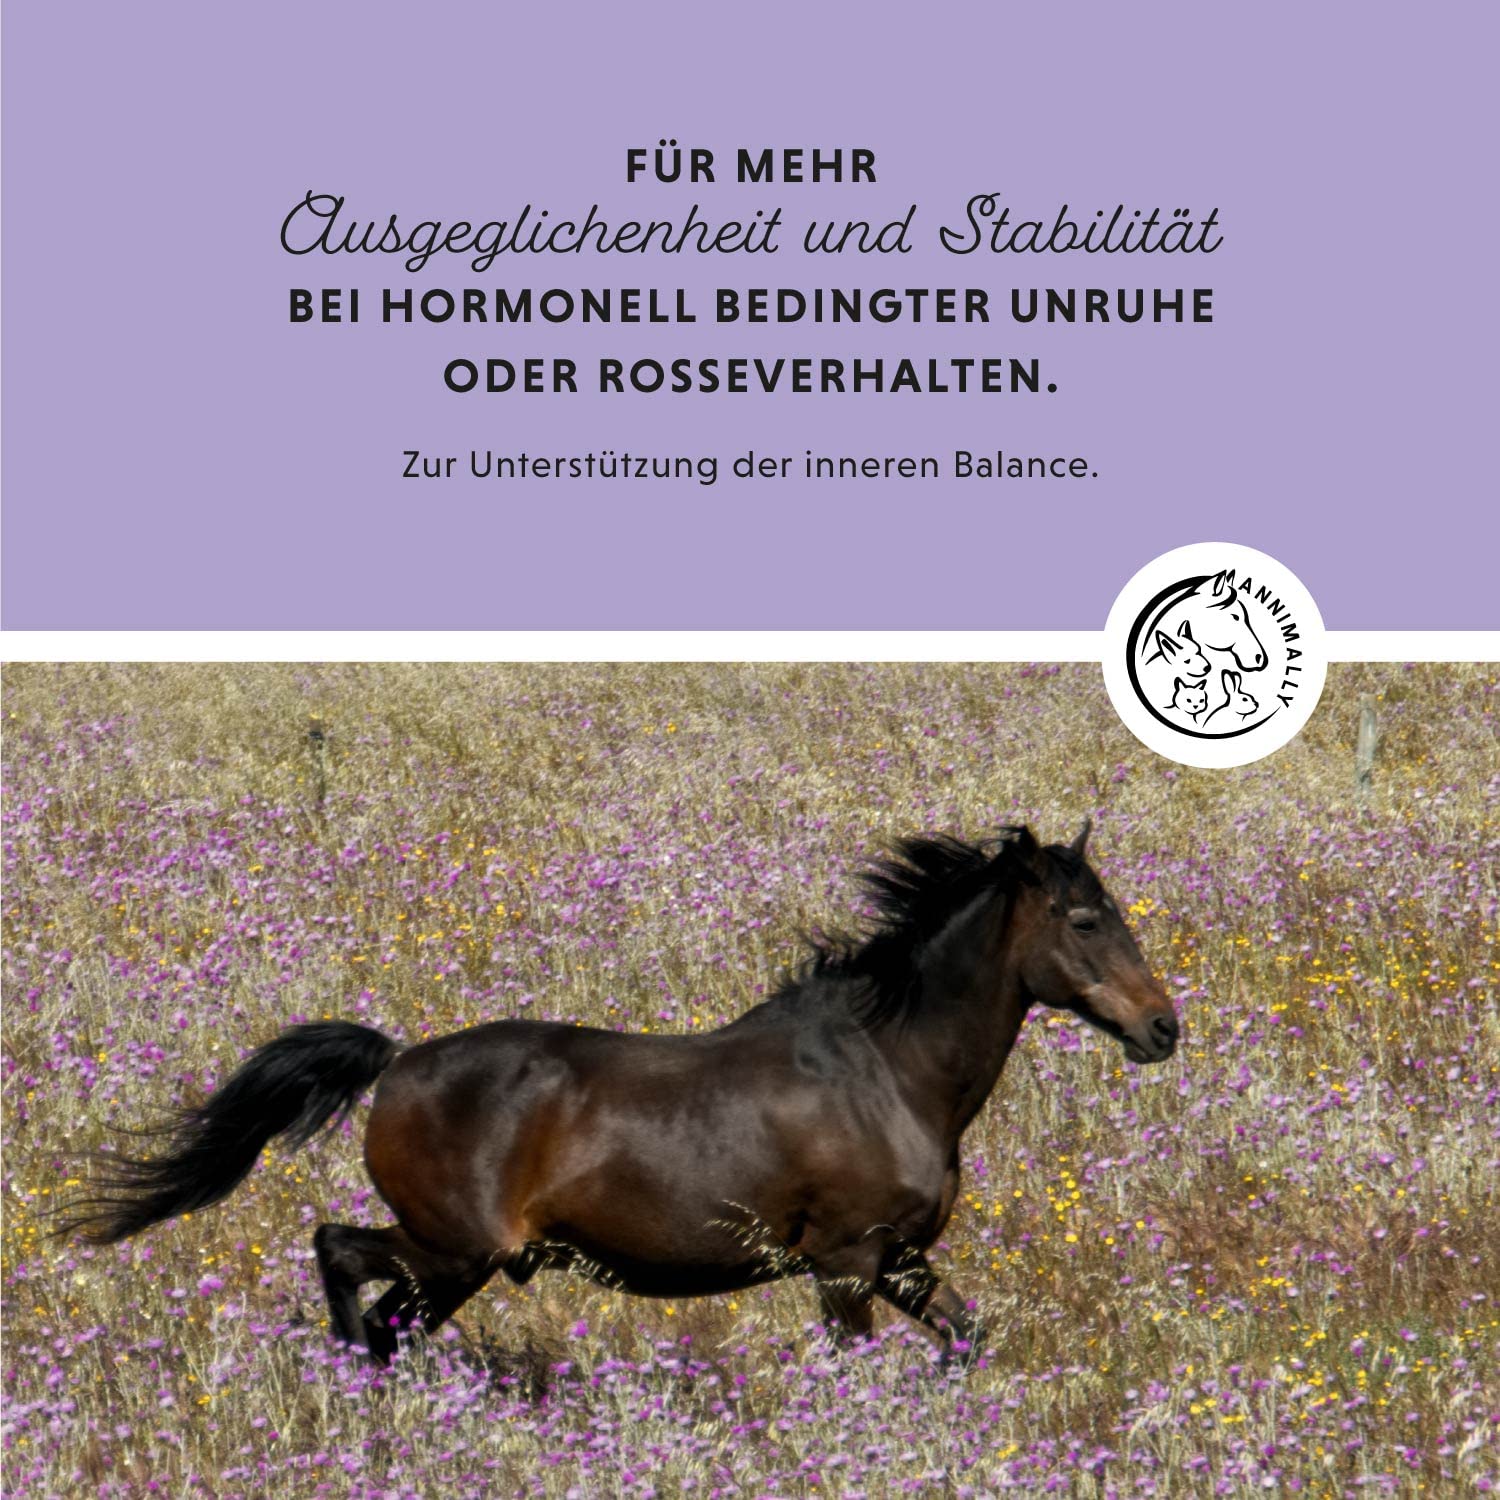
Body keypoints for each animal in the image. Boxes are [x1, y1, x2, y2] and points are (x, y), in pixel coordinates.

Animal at [61, 820, 1180, 1366]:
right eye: (1086, 920)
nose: (1164, 1029)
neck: (888, 1071)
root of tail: (397, 1063)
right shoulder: (845, 1265)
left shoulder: (902, 1263)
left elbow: (967, 1344)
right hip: (456, 1249)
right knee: (341, 1257)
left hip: (456, 1265)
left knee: (385, 1319)